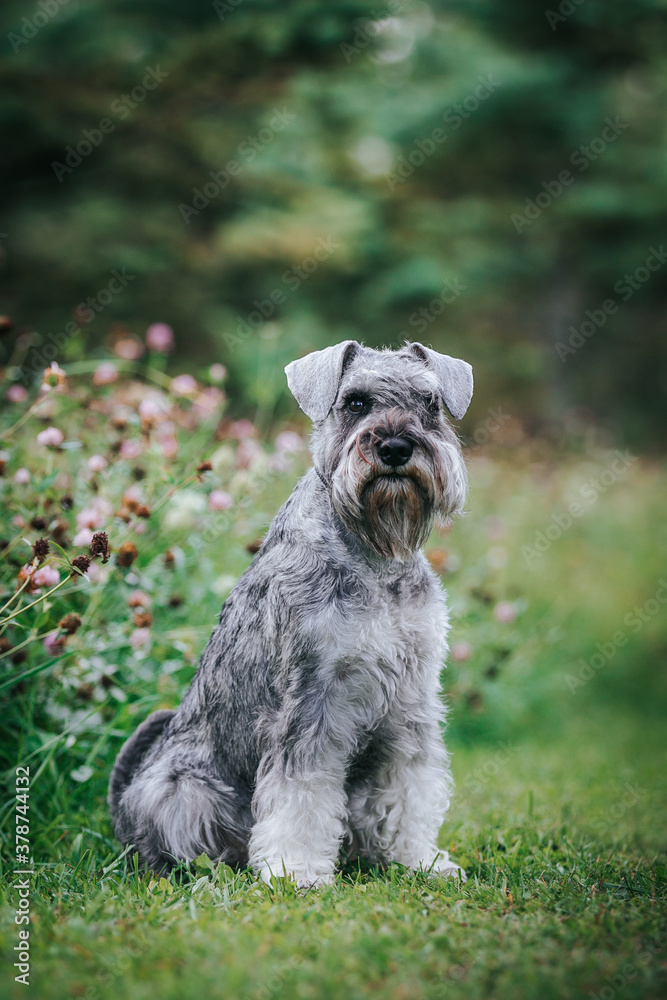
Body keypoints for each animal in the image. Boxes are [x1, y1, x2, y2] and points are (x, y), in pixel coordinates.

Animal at [109, 340, 472, 888]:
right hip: (181, 789)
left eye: (430, 403)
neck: (375, 559)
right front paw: (296, 871)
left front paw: (418, 860)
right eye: (356, 403)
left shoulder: (411, 701)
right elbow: (300, 792)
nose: (394, 448)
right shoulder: (310, 700)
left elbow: (409, 788)